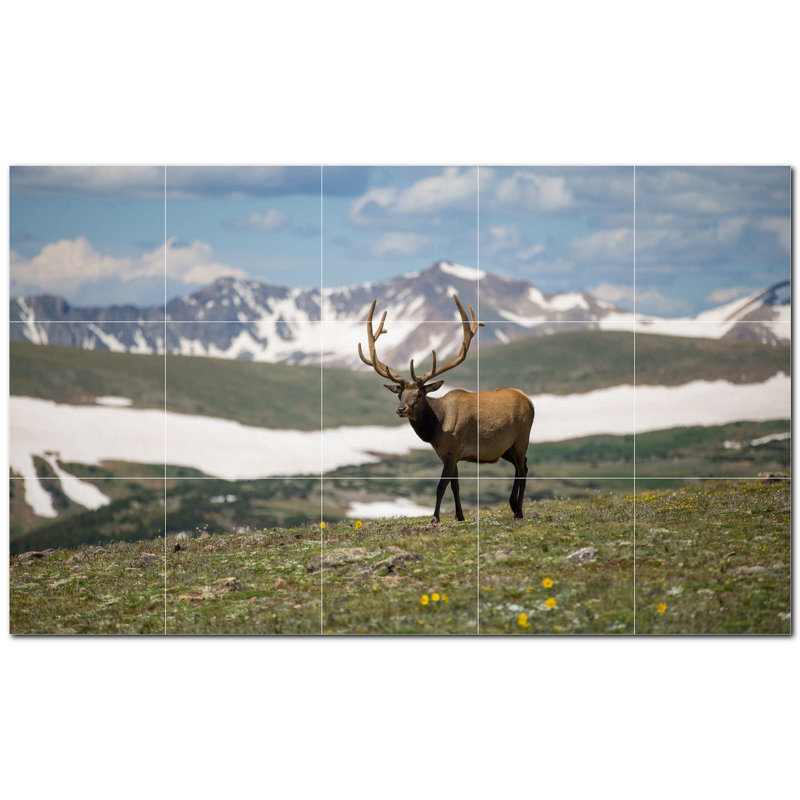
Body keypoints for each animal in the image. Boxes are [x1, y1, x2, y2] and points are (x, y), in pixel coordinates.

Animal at [358, 294, 535, 523]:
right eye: (399, 394)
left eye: (420, 394)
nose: (401, 409)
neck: (436, 428)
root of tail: (529, 400)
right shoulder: (446, 453)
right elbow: (455, 485)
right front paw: (459, 516)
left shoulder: (453, 447)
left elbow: (441, 485)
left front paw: (435, 518)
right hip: (506, 448)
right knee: (523, 466)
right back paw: (513, 505)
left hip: (522, 437)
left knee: (523, 468)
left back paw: (519, 511)